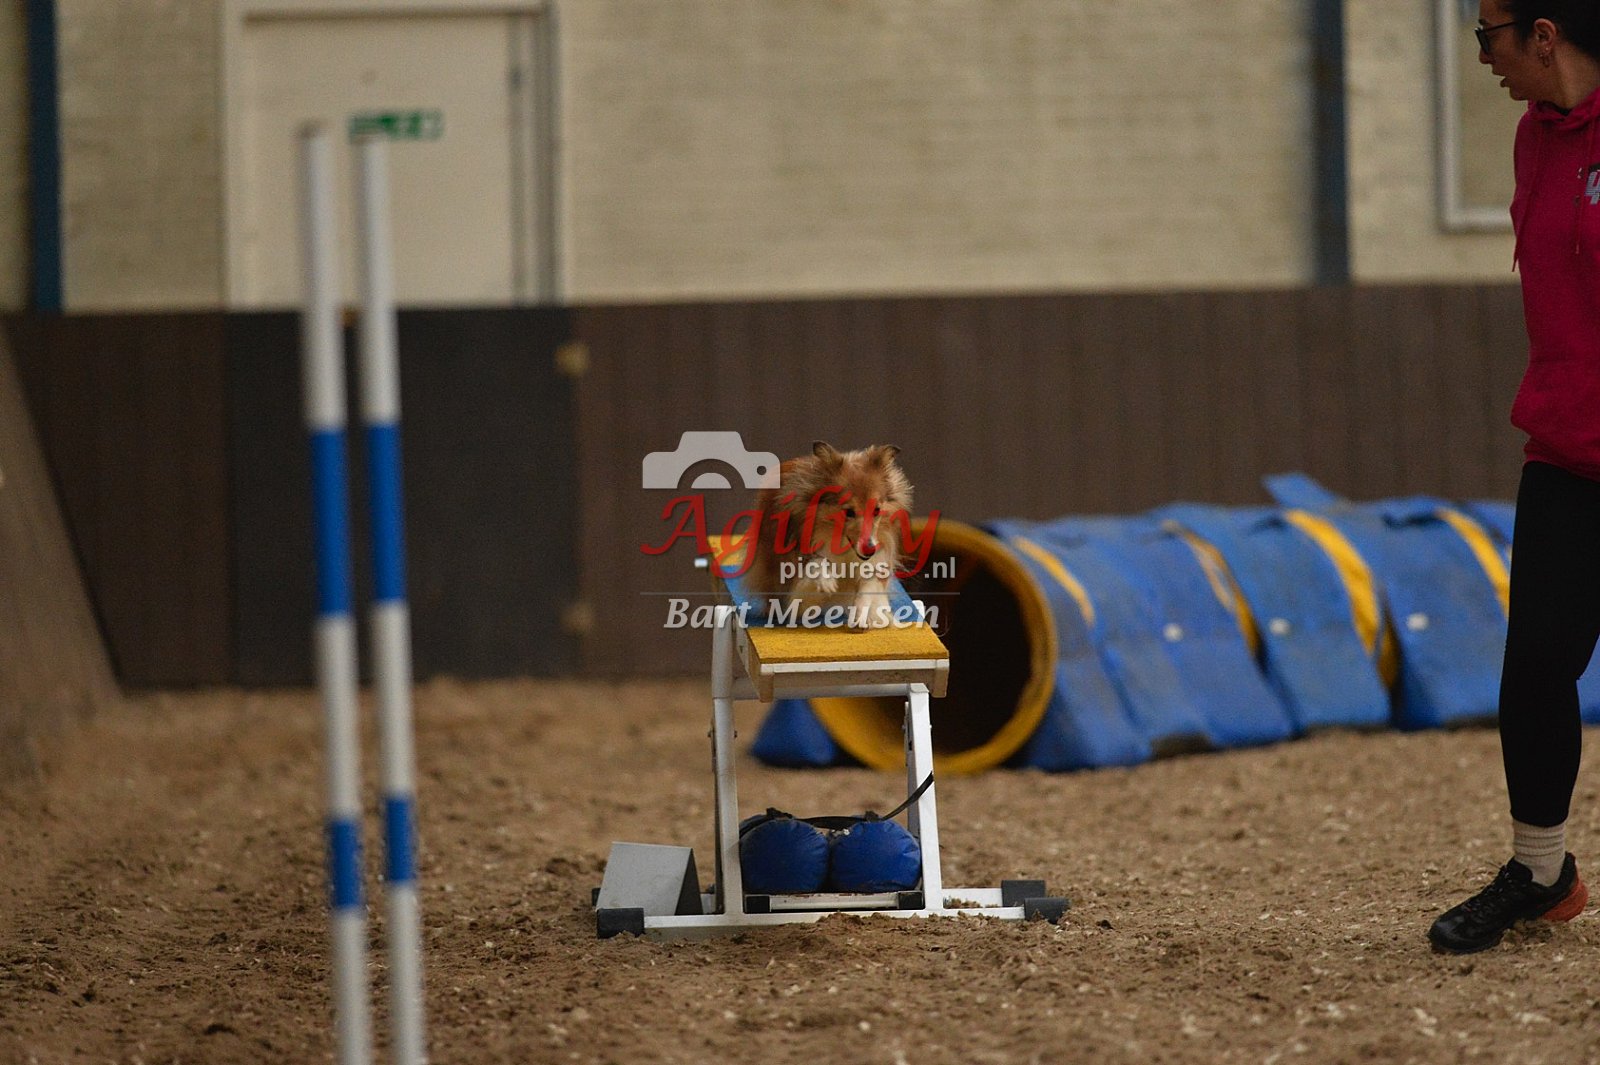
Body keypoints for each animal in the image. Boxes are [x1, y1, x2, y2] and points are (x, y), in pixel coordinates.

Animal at [743, 441, 913, 629]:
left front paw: (862, 616)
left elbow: (868, 584)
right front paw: (828, 581)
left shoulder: (878, 558)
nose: (869, 549)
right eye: (849, 511)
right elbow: (815, 565)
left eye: (876, 510)